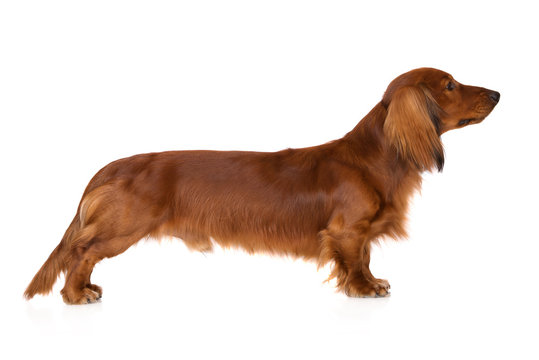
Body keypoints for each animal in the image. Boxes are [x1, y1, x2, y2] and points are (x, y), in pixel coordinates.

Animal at [24, 68, 498, 304]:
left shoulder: (358, 233)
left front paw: (367, 282)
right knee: (81, 253)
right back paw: (76, 294)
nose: (496, 93)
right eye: (450, 84)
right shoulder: (348, 229)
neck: (373, 157)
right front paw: (364, 289)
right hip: (123, 228)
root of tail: (110, 168)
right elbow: (355, 260)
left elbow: (362, 257)